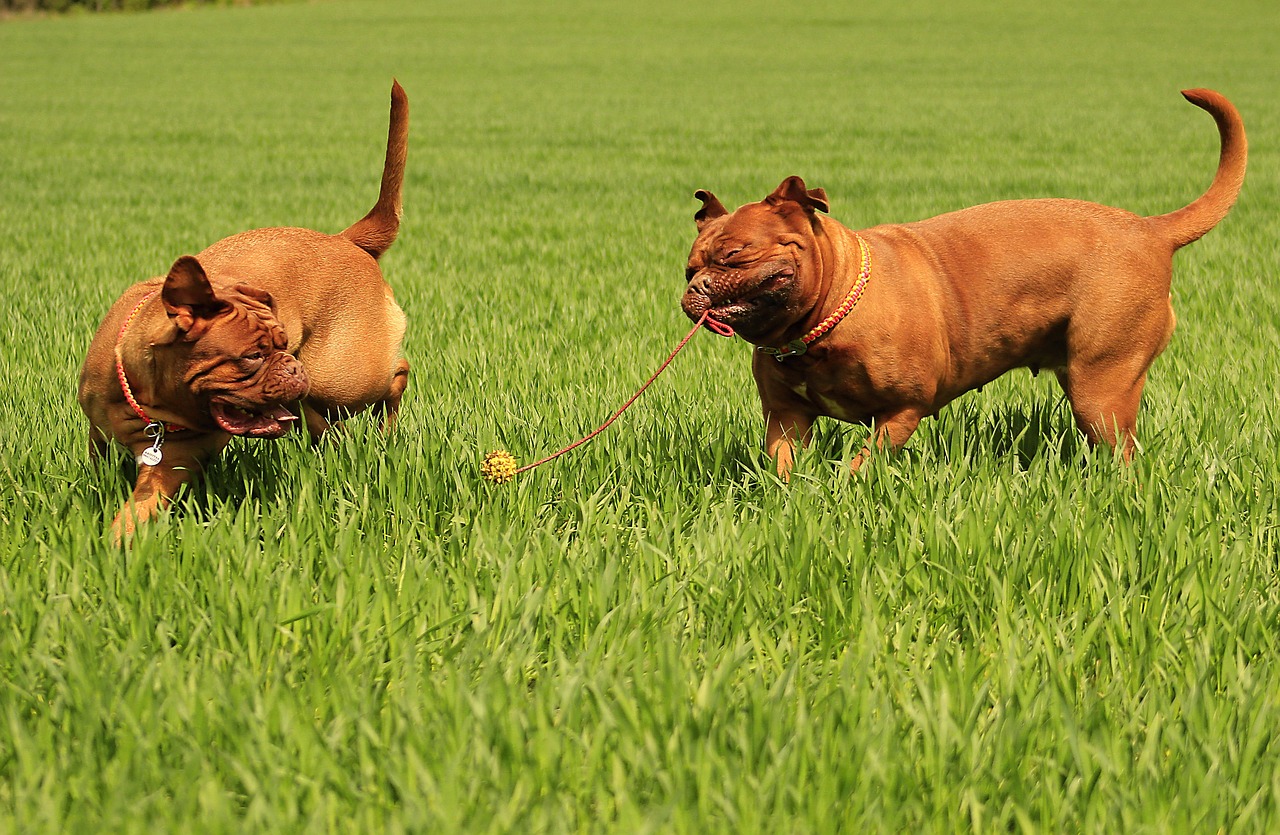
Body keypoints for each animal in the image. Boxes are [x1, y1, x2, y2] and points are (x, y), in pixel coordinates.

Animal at [78, 80, 409, 540]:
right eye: (252, 356)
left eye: (281, 344)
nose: (291, 364)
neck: (149, 398)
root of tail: (344, 239)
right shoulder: (100, 434)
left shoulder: (172, 462)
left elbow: (136, 510)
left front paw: (114, 543)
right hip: (313, 397)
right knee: (327, 427)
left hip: (341, 378)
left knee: (396, 377)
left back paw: (387, 431)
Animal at [686, 89, 1244, 476]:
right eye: (690, 266)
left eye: (735, 255)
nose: (696, 289)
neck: (822, 320)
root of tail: (1151, 229)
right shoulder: (786, 419)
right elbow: (784, 470)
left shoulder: (900, 410)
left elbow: (861, 466)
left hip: (1102, 386)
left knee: (1122, 453)